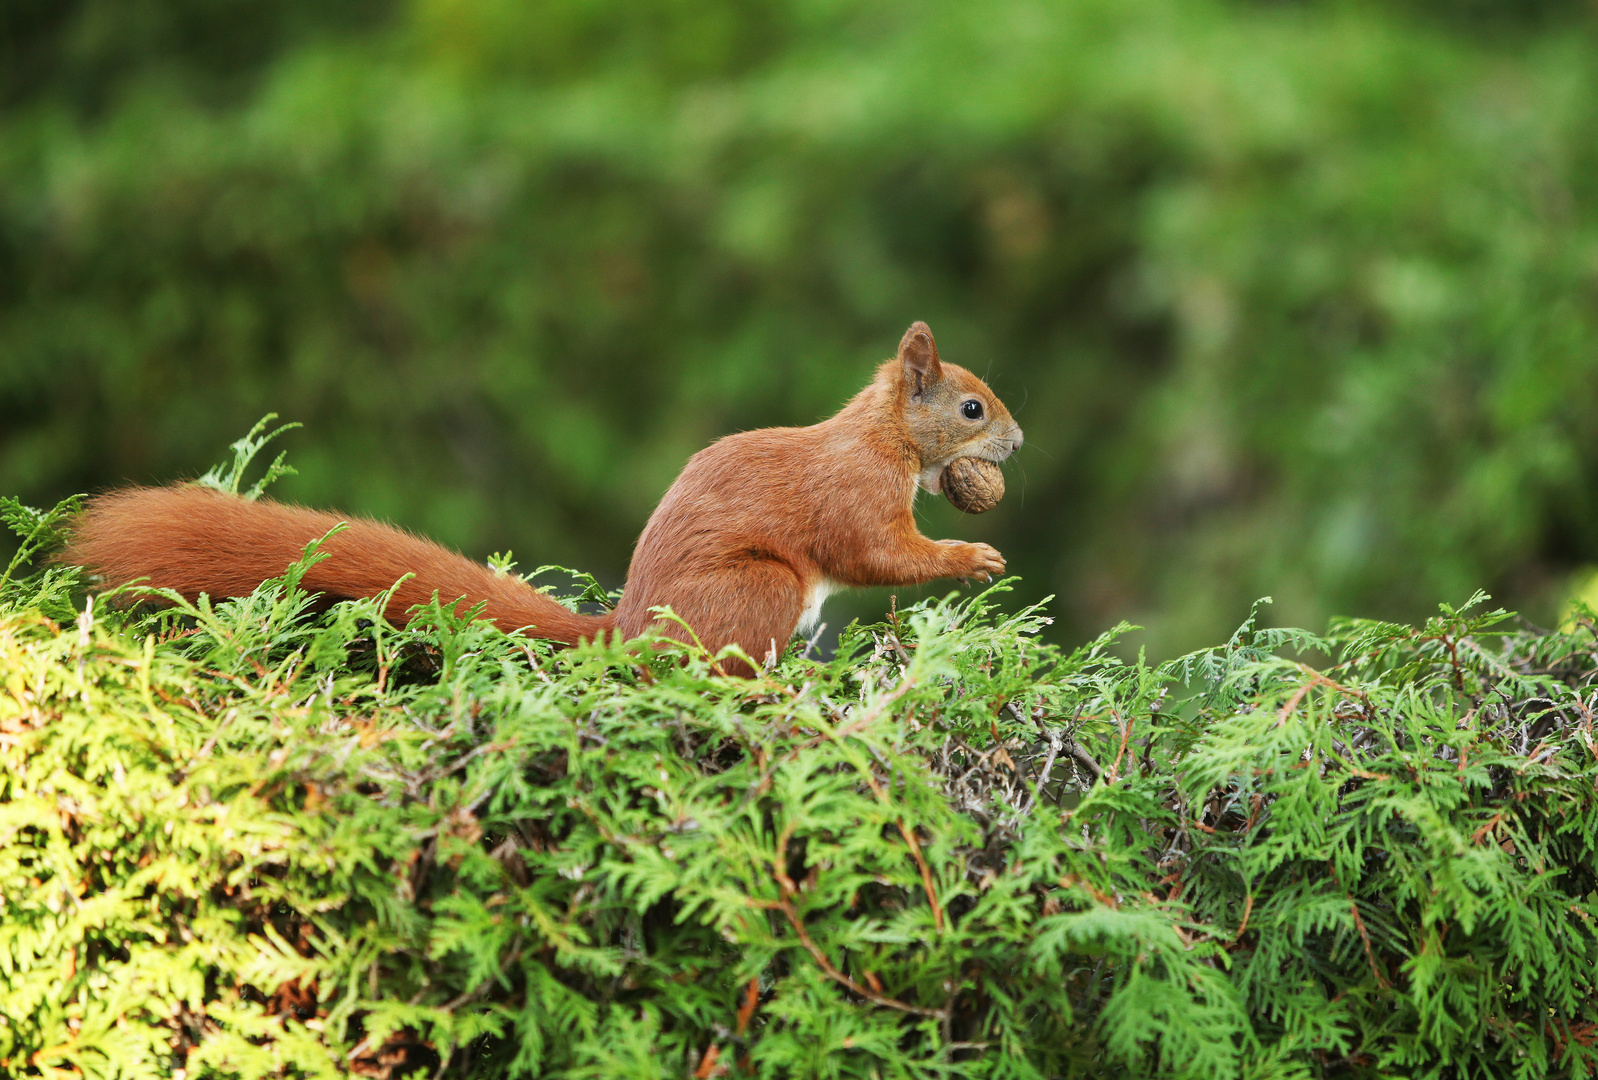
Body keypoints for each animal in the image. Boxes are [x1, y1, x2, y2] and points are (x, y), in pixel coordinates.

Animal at [62, 321, 1022, 674]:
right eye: (972, 406)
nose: (1015, 444)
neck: (884, 437)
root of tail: (628, 629)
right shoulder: (854, 493)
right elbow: (878, 553)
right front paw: (970, 556)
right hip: (762, 587)